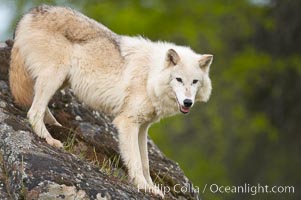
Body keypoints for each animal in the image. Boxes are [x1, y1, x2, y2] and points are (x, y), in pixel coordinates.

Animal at [8, 4, 211, 197]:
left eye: (194, 82)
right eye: (179, 79)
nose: (188, 102)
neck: (150, 76)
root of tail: (30, 14)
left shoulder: (143, 127)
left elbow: (145, 162)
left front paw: (153, 188)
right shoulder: (127, 123)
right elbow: (136, 161)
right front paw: (143, 186)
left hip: (60, 81)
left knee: (38, 105)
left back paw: (55, 124)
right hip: (54, 77)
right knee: (34, 112)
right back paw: (50, 139)